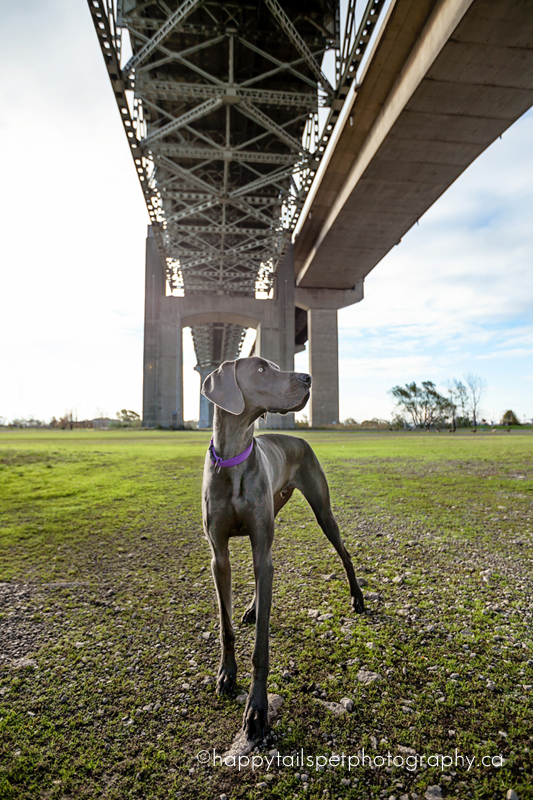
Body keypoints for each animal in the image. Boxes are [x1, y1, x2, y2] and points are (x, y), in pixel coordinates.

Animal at [201, 356, 366, 744]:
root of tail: (299, 437)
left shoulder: (260, 548)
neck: (234, 457)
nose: (307, 378)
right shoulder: (219, 557)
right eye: (261, 368)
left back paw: (357, 598)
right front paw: (226, 675)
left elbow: (261, 649)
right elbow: (225, 625)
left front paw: (256, 712)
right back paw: (251, 608)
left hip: (322, 511)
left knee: (345, 554)